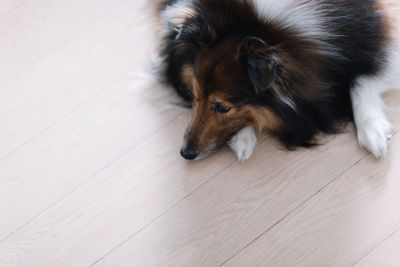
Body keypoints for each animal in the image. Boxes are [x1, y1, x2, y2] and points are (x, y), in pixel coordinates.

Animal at [157, 0, 400, 161]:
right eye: (195, 95)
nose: (185, 153)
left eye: (223, 108)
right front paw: (243, 138)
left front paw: (373, 131)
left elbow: (362, 79)